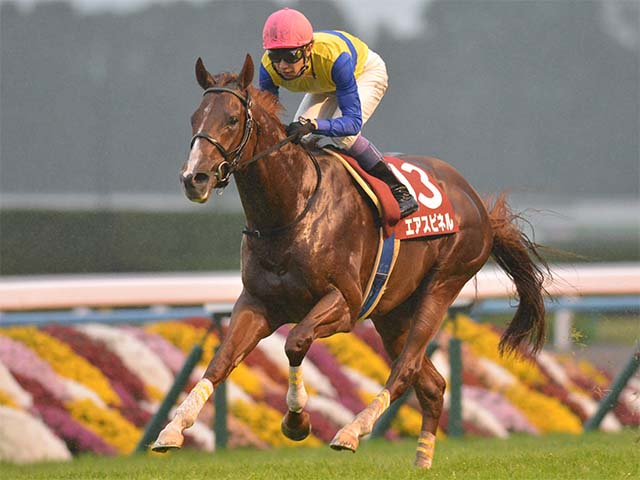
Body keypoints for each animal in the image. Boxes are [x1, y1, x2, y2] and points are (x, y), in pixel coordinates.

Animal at [152, 54, 549, 468]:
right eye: (194, 118)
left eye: (231, 119)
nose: (194, 178)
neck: (289, 208)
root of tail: (475, 201)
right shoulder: (257, 304)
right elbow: (220, 361)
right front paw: (173, 428)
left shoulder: (344, 303)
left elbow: (295, 342)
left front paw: (297, 422)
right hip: (392, 313)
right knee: (432, 384)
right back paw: (422, 461)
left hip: (443, 284)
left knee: (406, 369)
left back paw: (352, 431)